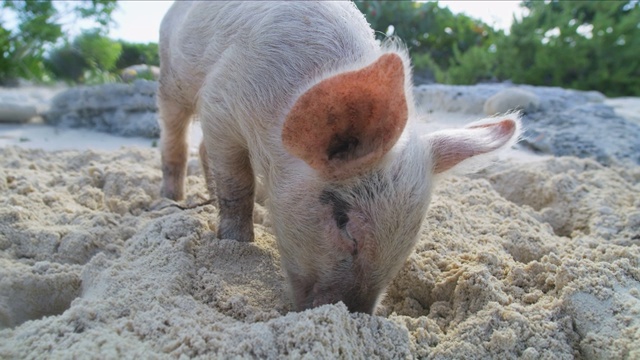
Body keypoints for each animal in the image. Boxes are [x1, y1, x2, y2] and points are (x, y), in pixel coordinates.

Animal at [156, 1, 520, 314]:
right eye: (343, 221)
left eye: (412, 236)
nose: (354, 313)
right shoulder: (220, 104)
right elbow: (237, 185)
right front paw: (236, 243)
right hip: (171, 76)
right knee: (176, 138)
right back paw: (169, 201)